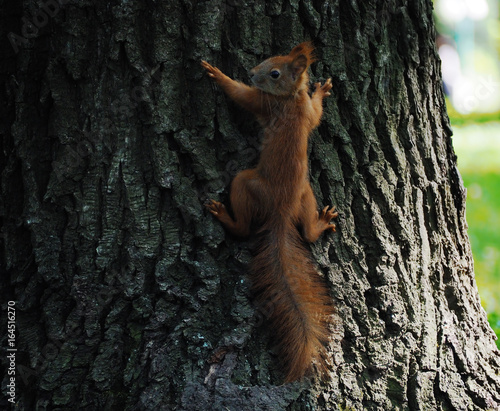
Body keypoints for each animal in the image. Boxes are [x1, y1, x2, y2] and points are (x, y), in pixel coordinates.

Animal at [201, 41, 338, 384]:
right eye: (269, 58)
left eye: (274, 73)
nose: (251, 72)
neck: (290, 97)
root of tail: (281, 211)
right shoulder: (306, 112)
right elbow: (317, 115)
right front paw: (322, 90)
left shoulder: (264, 103)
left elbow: (240, 96)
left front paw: (217, 74)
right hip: (306, 195)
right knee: (308, 232)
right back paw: (321, 223)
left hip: (246, 182)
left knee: (244, 227)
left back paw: (224, 216)